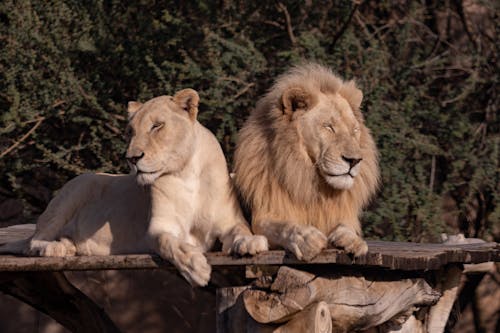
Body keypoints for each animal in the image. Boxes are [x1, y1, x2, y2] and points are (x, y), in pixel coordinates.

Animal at [0, 88, 270, 286]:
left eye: (157, 126)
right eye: (130, 131)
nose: (132, 158)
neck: (186, 174)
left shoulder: (230, 221)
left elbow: (241, 231)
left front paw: (251, 243)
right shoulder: (159, 228)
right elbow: (172, 245)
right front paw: (196, 268)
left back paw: (67, 246)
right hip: (77, 188)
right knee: (32, 243)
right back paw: (53, 248)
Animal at [234, 62, 378, 260]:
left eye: (354, 130)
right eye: (328, 127)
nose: (354, 160)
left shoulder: (343, 214)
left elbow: (347, 227)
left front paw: (353, 241)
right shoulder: (263, 215)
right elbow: (284, 226)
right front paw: (307, 238)